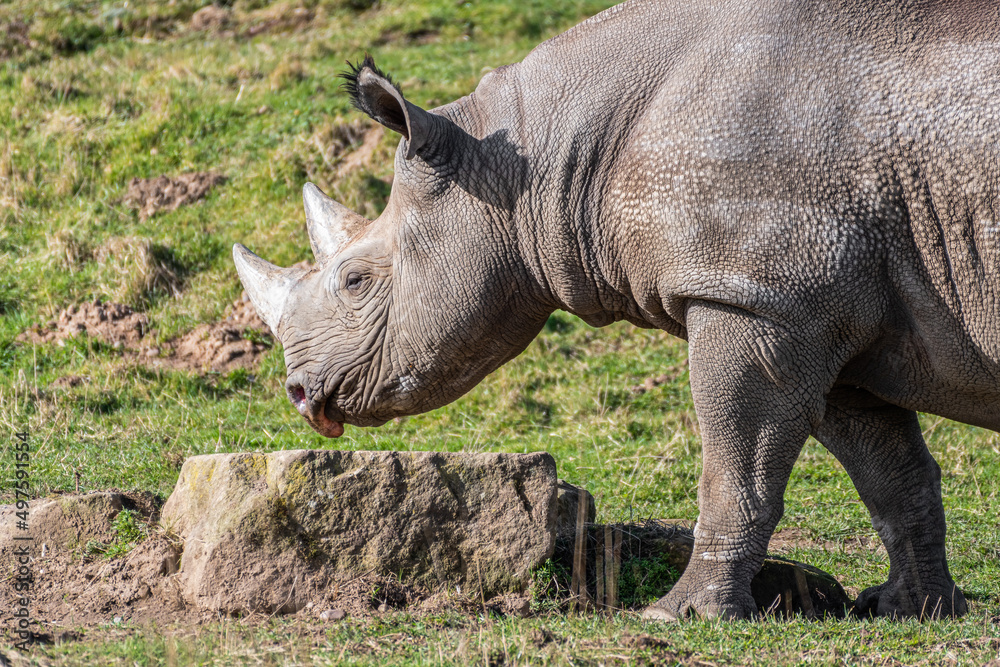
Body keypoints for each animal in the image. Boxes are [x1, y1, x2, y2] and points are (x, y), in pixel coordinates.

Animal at [233, 0, 1000, 620]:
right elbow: (891, 472)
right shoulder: (815, 305)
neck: (530, 160)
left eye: (356, 280)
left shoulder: (752, 294)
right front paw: (911, 608)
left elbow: (735, 469)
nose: (299, 393)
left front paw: (677, 615)